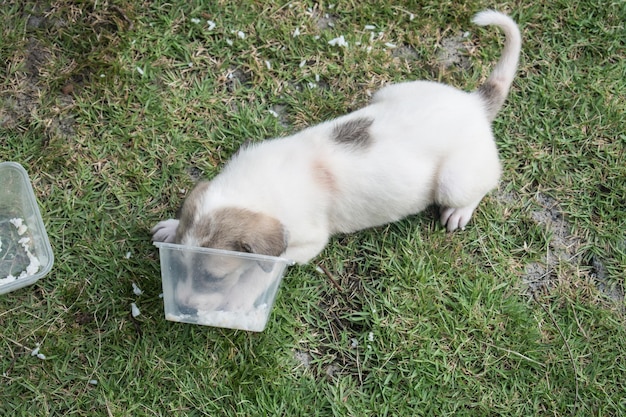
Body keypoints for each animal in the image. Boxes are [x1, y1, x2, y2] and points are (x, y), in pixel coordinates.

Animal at [152, 11, 520, 304]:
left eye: (213, 278)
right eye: (178, 264)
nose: (182, 305)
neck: (252, 190)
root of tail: (475, 103)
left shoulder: (305, 243)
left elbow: (259, 272)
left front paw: (237, 299)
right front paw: (171, 226)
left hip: (454, 182)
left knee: (480, 187)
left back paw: (458, 213)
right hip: (389, 91)